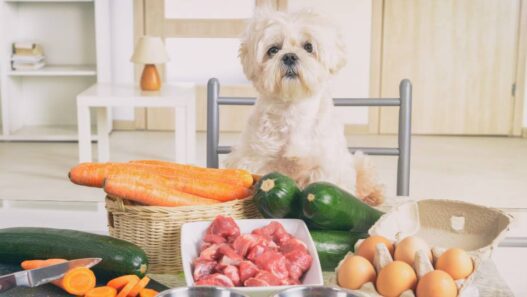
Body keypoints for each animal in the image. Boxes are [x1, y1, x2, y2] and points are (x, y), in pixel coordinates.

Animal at [226, 8, 384, 204]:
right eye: (273, 50)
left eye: (308, 47)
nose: (289, 56)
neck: (294, 107)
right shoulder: (257, 159)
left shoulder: (324, 165)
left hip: (359, 163)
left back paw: (372, 196)